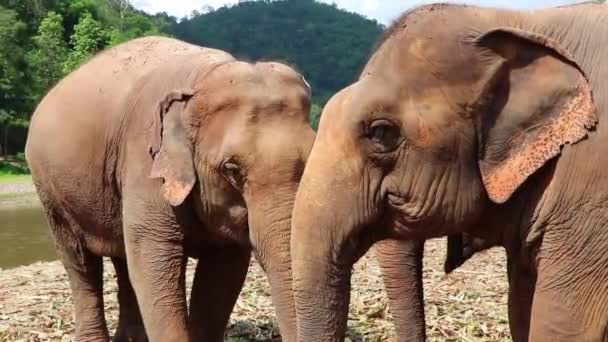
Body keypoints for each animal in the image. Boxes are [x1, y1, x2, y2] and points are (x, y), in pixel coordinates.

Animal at [23, 36, 314, 340]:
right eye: (232, 169)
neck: (201, 78)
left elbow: (222, 274)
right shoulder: (143, 159)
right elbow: (154, 260)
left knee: (123, 259)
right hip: (50, 190)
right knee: (80, 262)